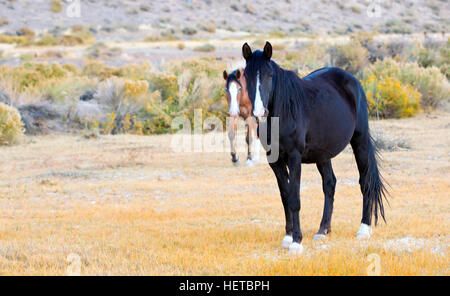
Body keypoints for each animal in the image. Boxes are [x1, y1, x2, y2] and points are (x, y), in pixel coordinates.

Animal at [243, 41, 386, 254]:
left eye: (269, 75)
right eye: (246, 76)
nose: (260, 112)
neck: (284, 112)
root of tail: (352, 80)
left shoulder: (294, 157)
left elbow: (294, 199)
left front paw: (296, 242)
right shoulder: (274, 160)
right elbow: (285, 196)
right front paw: (288, 237)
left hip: (359, 141)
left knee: (365, 181)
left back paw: (363, 229)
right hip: (323, 154)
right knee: (330, 184)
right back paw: (323, 230)